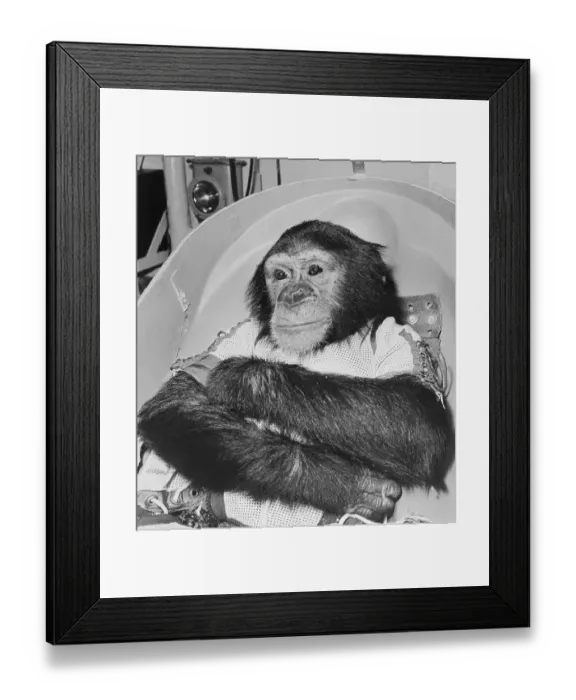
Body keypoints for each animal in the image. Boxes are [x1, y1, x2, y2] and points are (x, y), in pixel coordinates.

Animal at [137, 220, 454, 524]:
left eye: (314, 270)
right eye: (280, 275)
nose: (293, 294)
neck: (329, 340)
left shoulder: (403, 339)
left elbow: (417, 417)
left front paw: (243, 378)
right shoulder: (235, 333)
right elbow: (179, 399)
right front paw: (340, 483)